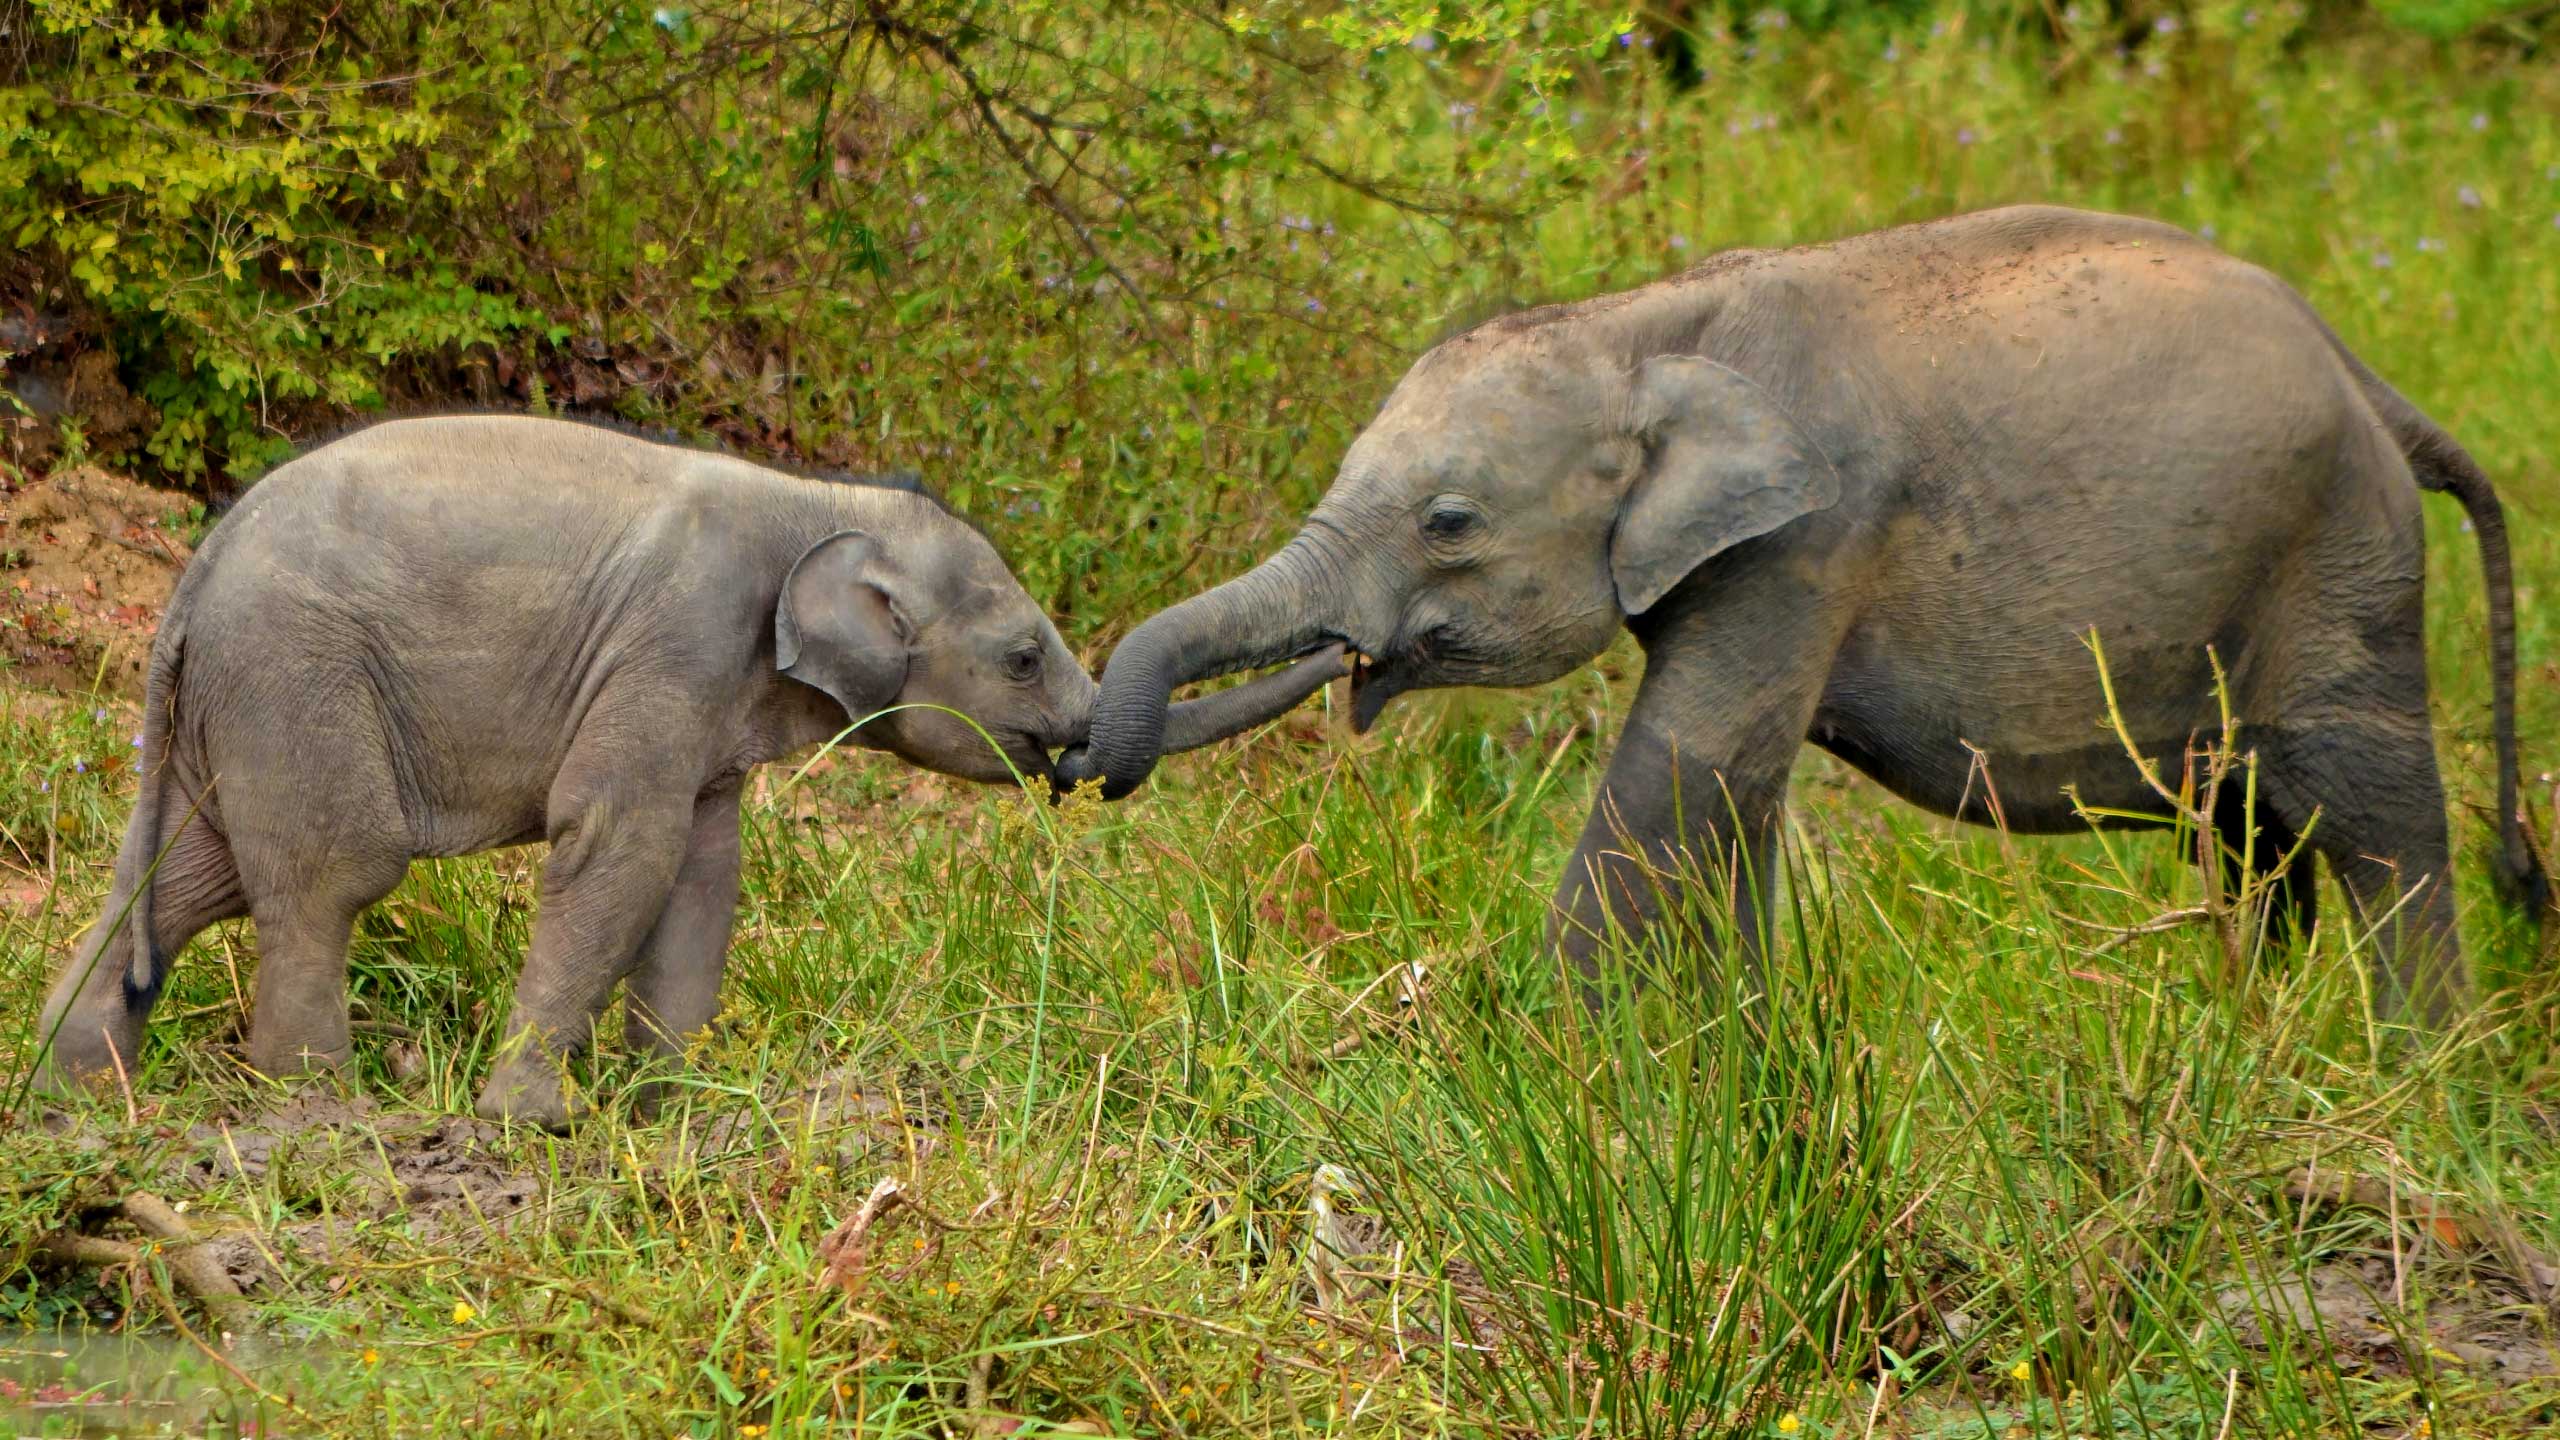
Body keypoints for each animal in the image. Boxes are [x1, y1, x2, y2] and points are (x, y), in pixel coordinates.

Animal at [40, 415, 1351, 1122]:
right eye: (1024, 658)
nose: (1353, 649)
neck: (816, 498)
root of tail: (194, 575)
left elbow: (704, 875)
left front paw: (674, 1114)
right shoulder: (677, 634)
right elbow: (621, 844)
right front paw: (532, 1125)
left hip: (236, 704)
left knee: (188, 879)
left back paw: (81, 1088)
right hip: (298, 675)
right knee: (329, 876)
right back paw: (318, 1105)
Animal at [1059, 204, 2539, 1019]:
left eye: (1451, 523)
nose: (1069, 749)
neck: (1644, 323)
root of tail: (2371, 380)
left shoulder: (1810, 538)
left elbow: (1682, 773)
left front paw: (1541, 1056)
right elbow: (1737, 802)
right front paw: (1744, 1069)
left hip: (2340, 559)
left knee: (2374, 820)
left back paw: (2413, 1073)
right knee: (2253, 835)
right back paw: (2266, 1030)